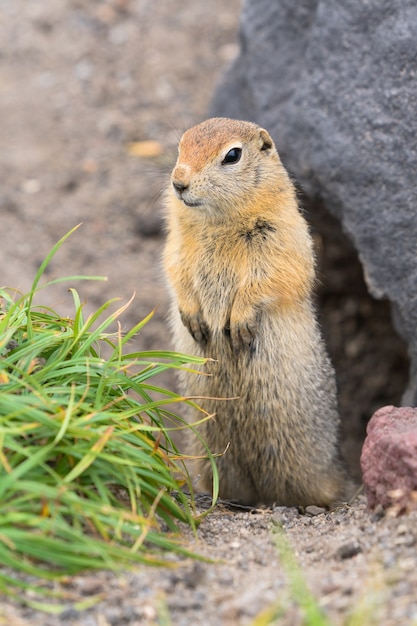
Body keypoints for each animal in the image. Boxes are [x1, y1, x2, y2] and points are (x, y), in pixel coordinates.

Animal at [162, 118, 352, 508]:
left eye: (232, 155)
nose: (178, 182)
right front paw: (194, 319)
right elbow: (175, 268)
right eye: (181, 146)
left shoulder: (280, 233)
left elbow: (272, 275)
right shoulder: (176, 241)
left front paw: (240, 322)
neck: (216, 219)